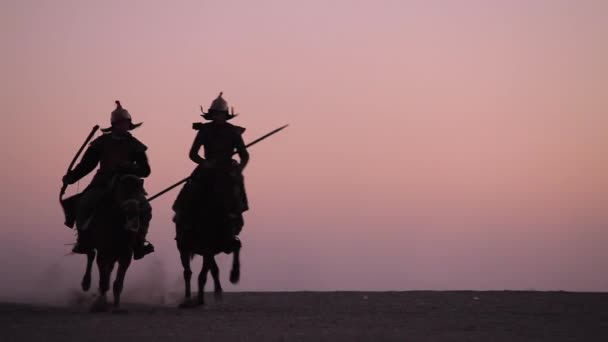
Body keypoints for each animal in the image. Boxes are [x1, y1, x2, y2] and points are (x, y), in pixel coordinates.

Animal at [79, 175, 147, 312]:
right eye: (121, 191)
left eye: (139, 193)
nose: (132, 216)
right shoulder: (103, 252)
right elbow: (103, 280)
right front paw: (100, 303)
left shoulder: (126, 255)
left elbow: (118, 283)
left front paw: (116, 307)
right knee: (90, 255)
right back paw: (86, 283)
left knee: (107, 268)